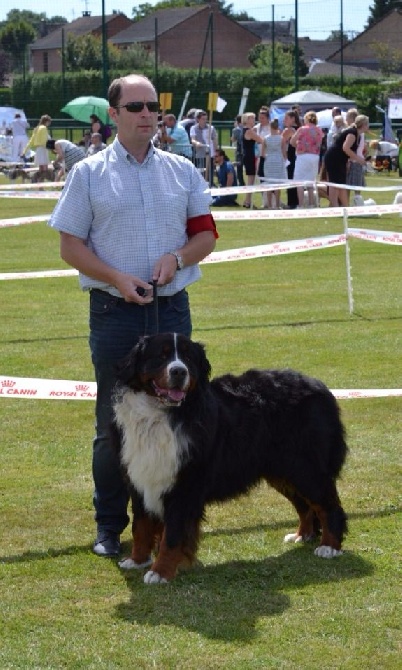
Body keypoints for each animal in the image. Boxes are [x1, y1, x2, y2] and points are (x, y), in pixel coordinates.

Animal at [113, 334, 348, 584]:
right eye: (161, 355)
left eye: (188, 358)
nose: (179, 372)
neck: (160, 415)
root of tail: (320, 387)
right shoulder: (140, 478)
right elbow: (141, 527)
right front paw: (136, 560)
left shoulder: (184, 485)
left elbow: (172, 535)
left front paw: (160, 572)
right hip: (285, 471)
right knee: (304, 505)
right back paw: (302, 535)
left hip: (306, 469)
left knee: (328, 506)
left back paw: (330, 547)